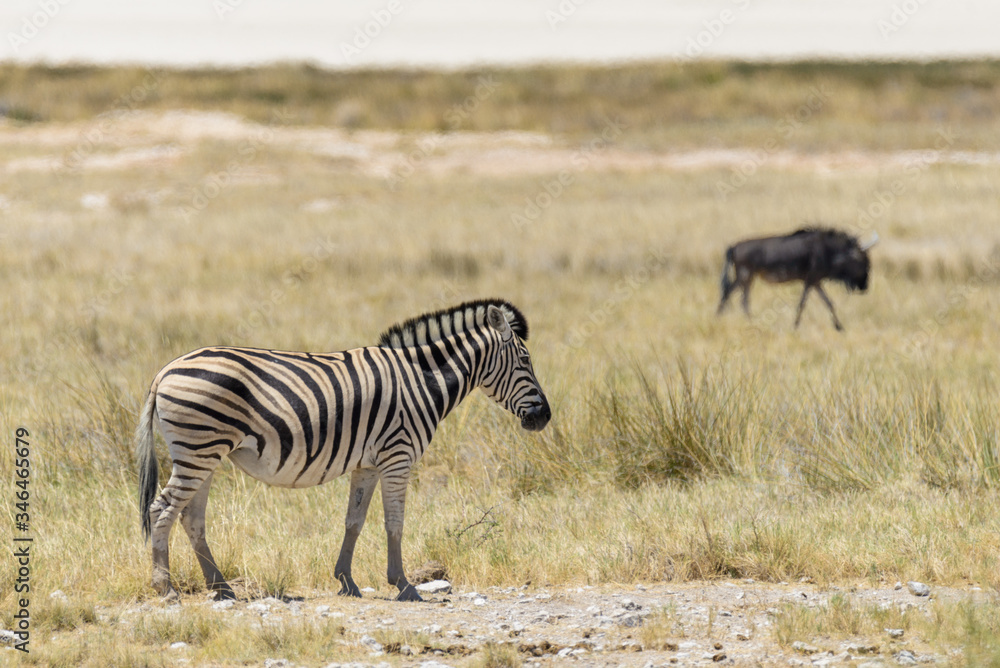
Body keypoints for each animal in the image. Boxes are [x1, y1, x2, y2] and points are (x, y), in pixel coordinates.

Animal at [135, 299, 550, 602]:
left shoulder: (368, 463)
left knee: (191, 519)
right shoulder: (397, 456)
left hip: (203, 452)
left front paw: (346, 581)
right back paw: (166, 588)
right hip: (199, 448)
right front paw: (404, 585)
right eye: (525, 361)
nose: (544, 417)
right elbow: (394, 523)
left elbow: (354, 521)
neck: (421, 381)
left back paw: (221, 588)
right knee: (161, 510)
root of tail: (164, 371)